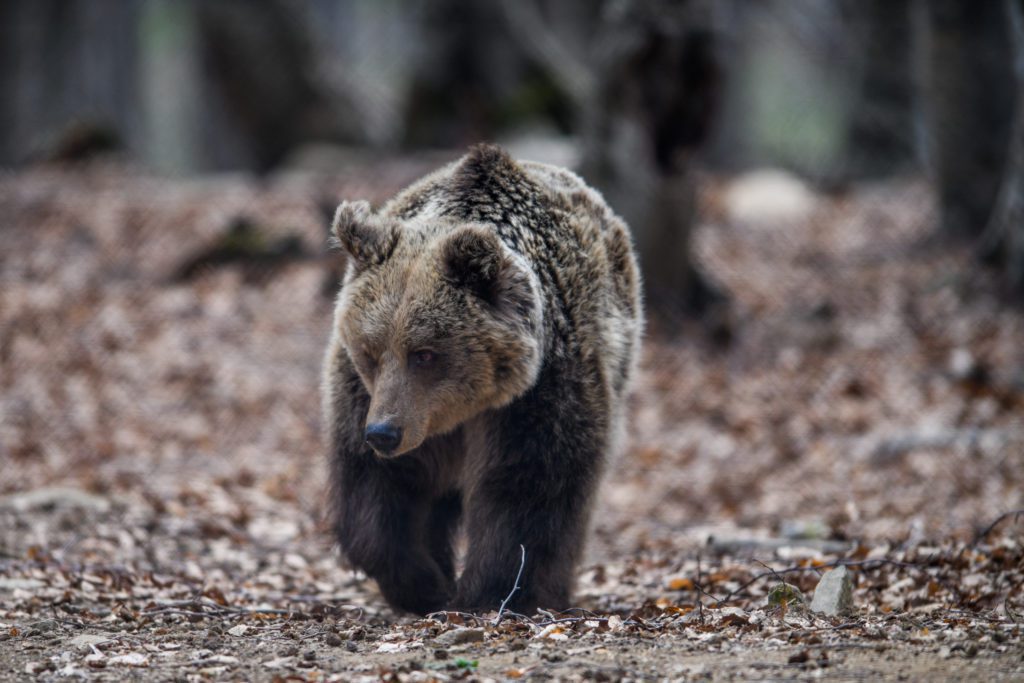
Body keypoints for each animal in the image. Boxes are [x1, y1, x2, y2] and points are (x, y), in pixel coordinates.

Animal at [321, 143, 638, 614]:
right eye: (370, 351)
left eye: (425, 353)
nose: (383, 433)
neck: (461, 410)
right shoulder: (366, 397)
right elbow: (377, 490)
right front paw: (425, 584)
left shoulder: (539, 392)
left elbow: (527, 486)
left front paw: (491, 592)